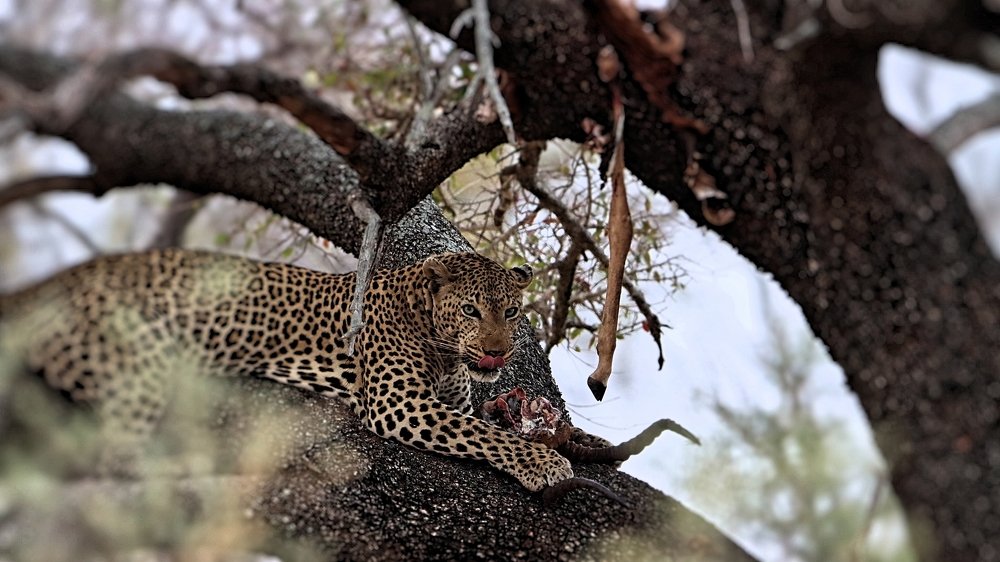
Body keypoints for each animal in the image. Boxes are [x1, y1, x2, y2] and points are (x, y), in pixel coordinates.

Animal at [0, 249, 574, 491]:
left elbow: (482, 422)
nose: (499, 353)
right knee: (113, 460)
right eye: (472, 311)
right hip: (143, 355)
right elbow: (483, 434)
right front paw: (545, 463)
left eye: (512, 312)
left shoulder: (448, 398)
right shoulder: (399, 404)